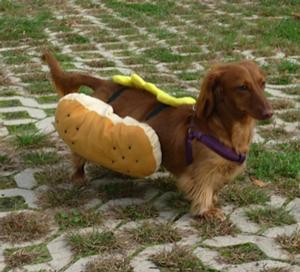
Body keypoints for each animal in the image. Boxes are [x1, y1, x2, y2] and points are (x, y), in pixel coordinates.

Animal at [42, 51, 272, 221]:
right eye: (242, 87)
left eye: (262, 83)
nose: (270, 113)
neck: (224, 128)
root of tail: (104, 83)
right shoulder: (203, 171)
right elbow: (204, 189)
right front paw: (207, 210)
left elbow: (215, 189)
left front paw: (214, 202)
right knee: (78, 156)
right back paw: (79, 176)